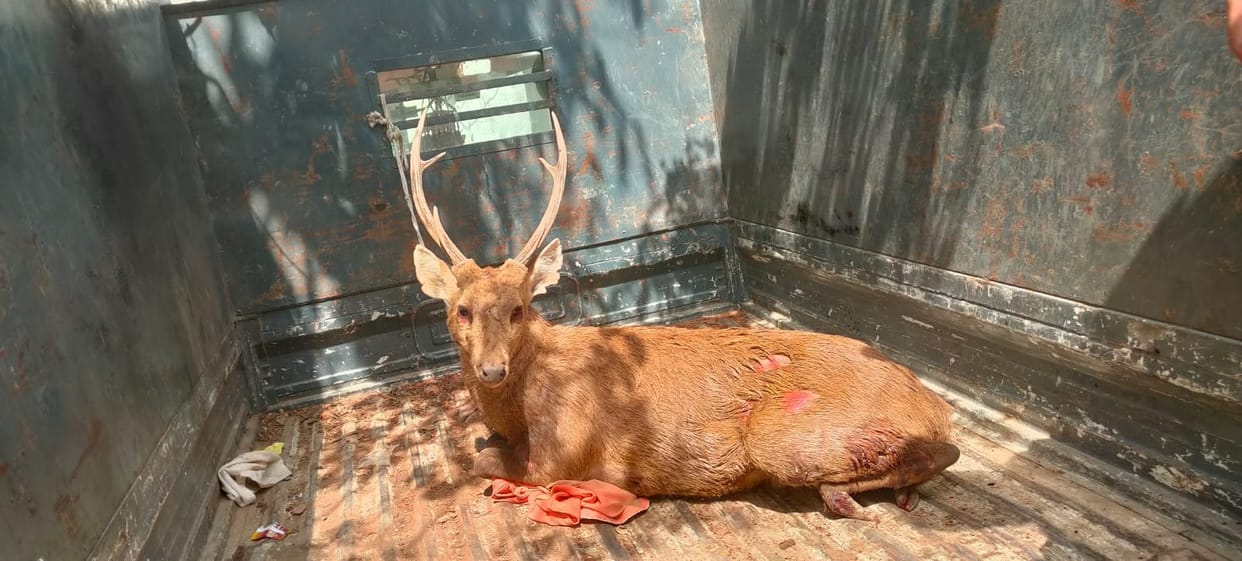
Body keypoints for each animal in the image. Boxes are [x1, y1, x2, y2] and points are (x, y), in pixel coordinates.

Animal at [405, 108, 960, 521]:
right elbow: (479, 441)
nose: (491, 369)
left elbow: (480, 458)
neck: (519, 405)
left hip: (784, 434)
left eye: (518, 309)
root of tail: (933, 406)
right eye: (461, 310)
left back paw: (846, 494)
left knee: (945, 454)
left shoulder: (562, 450)